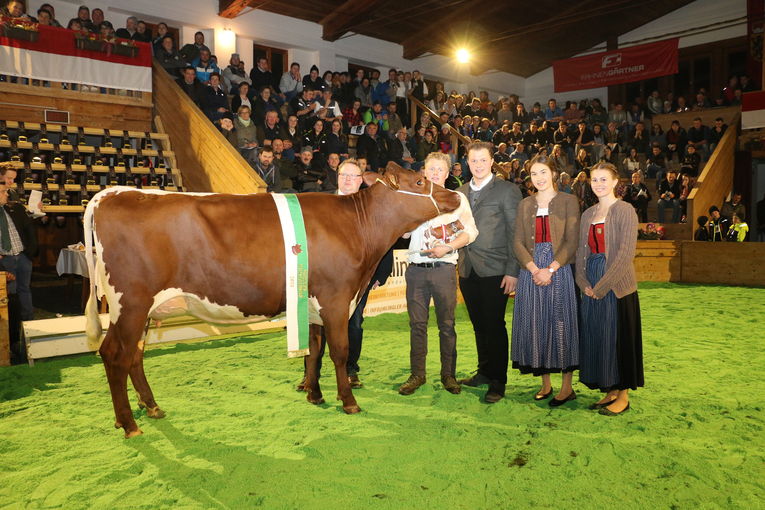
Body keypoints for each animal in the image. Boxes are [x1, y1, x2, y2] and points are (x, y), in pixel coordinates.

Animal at [86, 165, 462, 436]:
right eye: (419, 180)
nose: (456, 195)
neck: (359, 229)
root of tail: (113, 193)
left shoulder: (312, 303)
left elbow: (314, 350)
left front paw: (314, 394)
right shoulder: (337, 298)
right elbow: (339, 352)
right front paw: (348, 401)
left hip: (141, 311)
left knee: (134, 356)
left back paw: (150, 407)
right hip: (131, 303)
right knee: (115, 355)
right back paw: (129, 424)